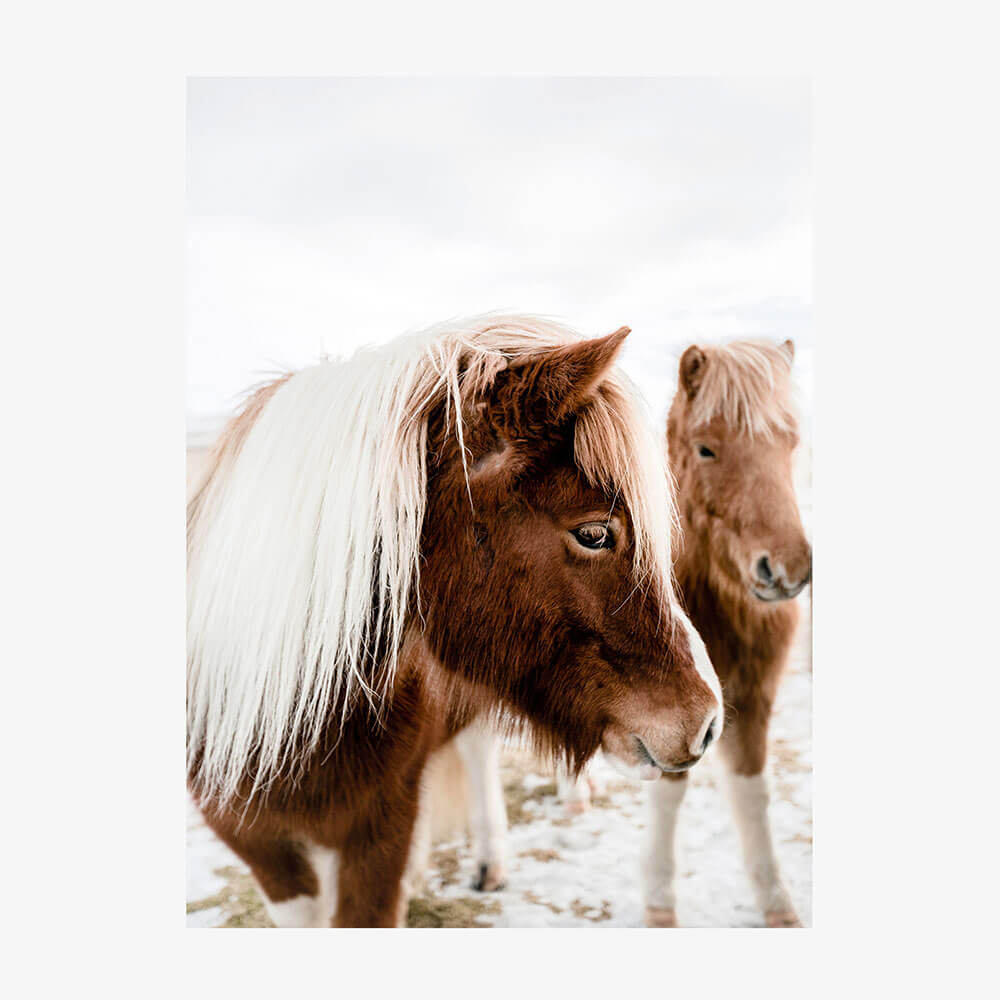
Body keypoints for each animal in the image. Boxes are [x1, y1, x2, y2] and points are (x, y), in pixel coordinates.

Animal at [434, 338, 811, 926]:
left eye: (791, 442)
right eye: (706, 449)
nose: (787, 568)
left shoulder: (751, 696)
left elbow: (753, 792)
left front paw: (777, 903)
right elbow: (670, 791)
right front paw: (660, 902)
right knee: (478, 745)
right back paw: (491, 860)